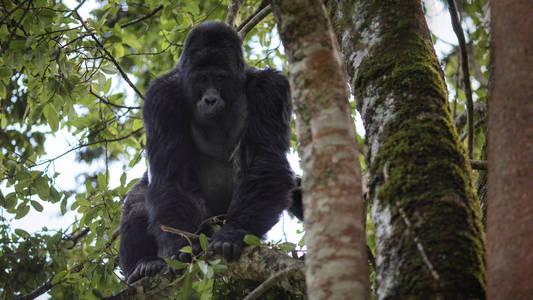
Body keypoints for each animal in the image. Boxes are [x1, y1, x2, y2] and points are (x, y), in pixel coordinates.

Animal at [120, 22, 302, 282]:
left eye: (219, 77)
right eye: (202, 79)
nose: (210, 99)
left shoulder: (270, 89)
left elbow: (264, 160)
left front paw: (234, 232)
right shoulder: (161, 97)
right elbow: (172, 178)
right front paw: (181, 247)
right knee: (137, 202)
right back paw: (144, 264)